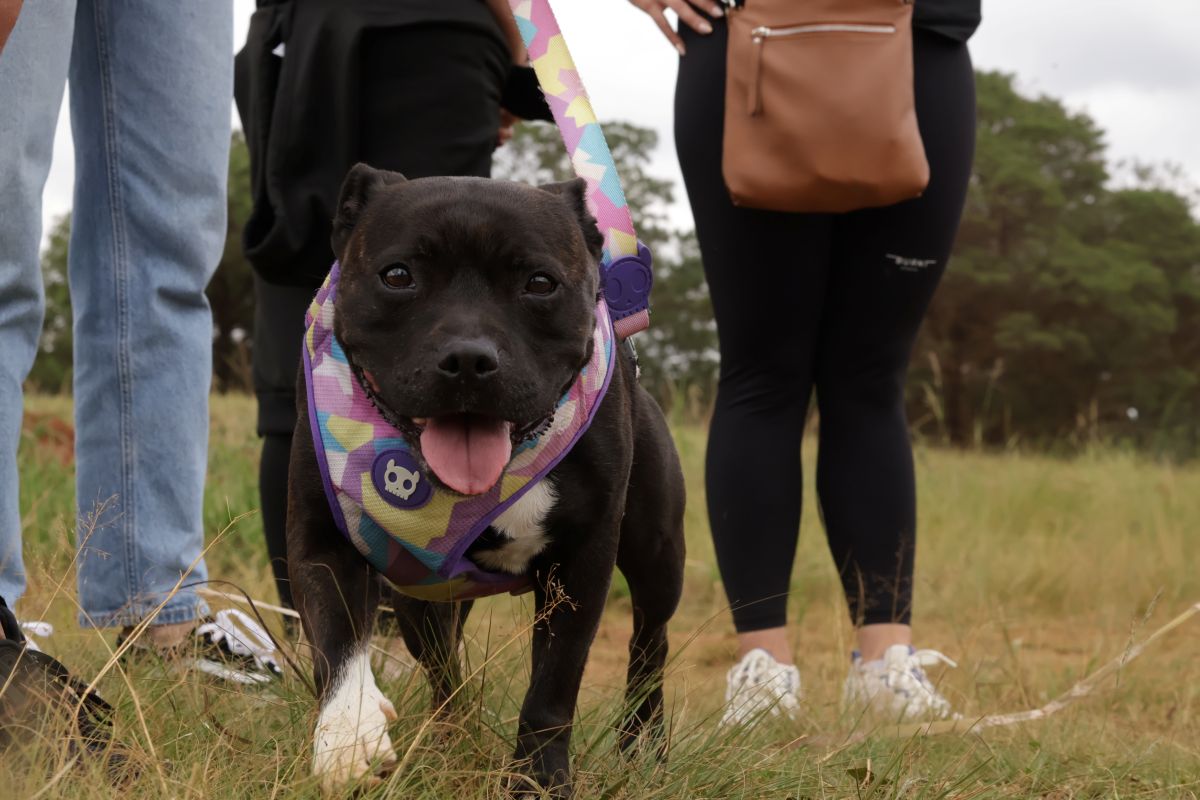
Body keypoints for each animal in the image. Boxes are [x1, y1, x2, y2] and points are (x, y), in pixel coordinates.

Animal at [286, 163, 686, 796]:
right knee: (444, 672)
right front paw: (350, 740)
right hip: (422, 600)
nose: (468, 359)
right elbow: (339, 643)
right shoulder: (322, 543)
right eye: (397, 276)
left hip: (656, 555)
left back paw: (641, 747)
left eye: (540, 283)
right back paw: (446, 739)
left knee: (650, 646)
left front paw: (540, 782)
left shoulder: (582, 565)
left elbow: (552, 689)